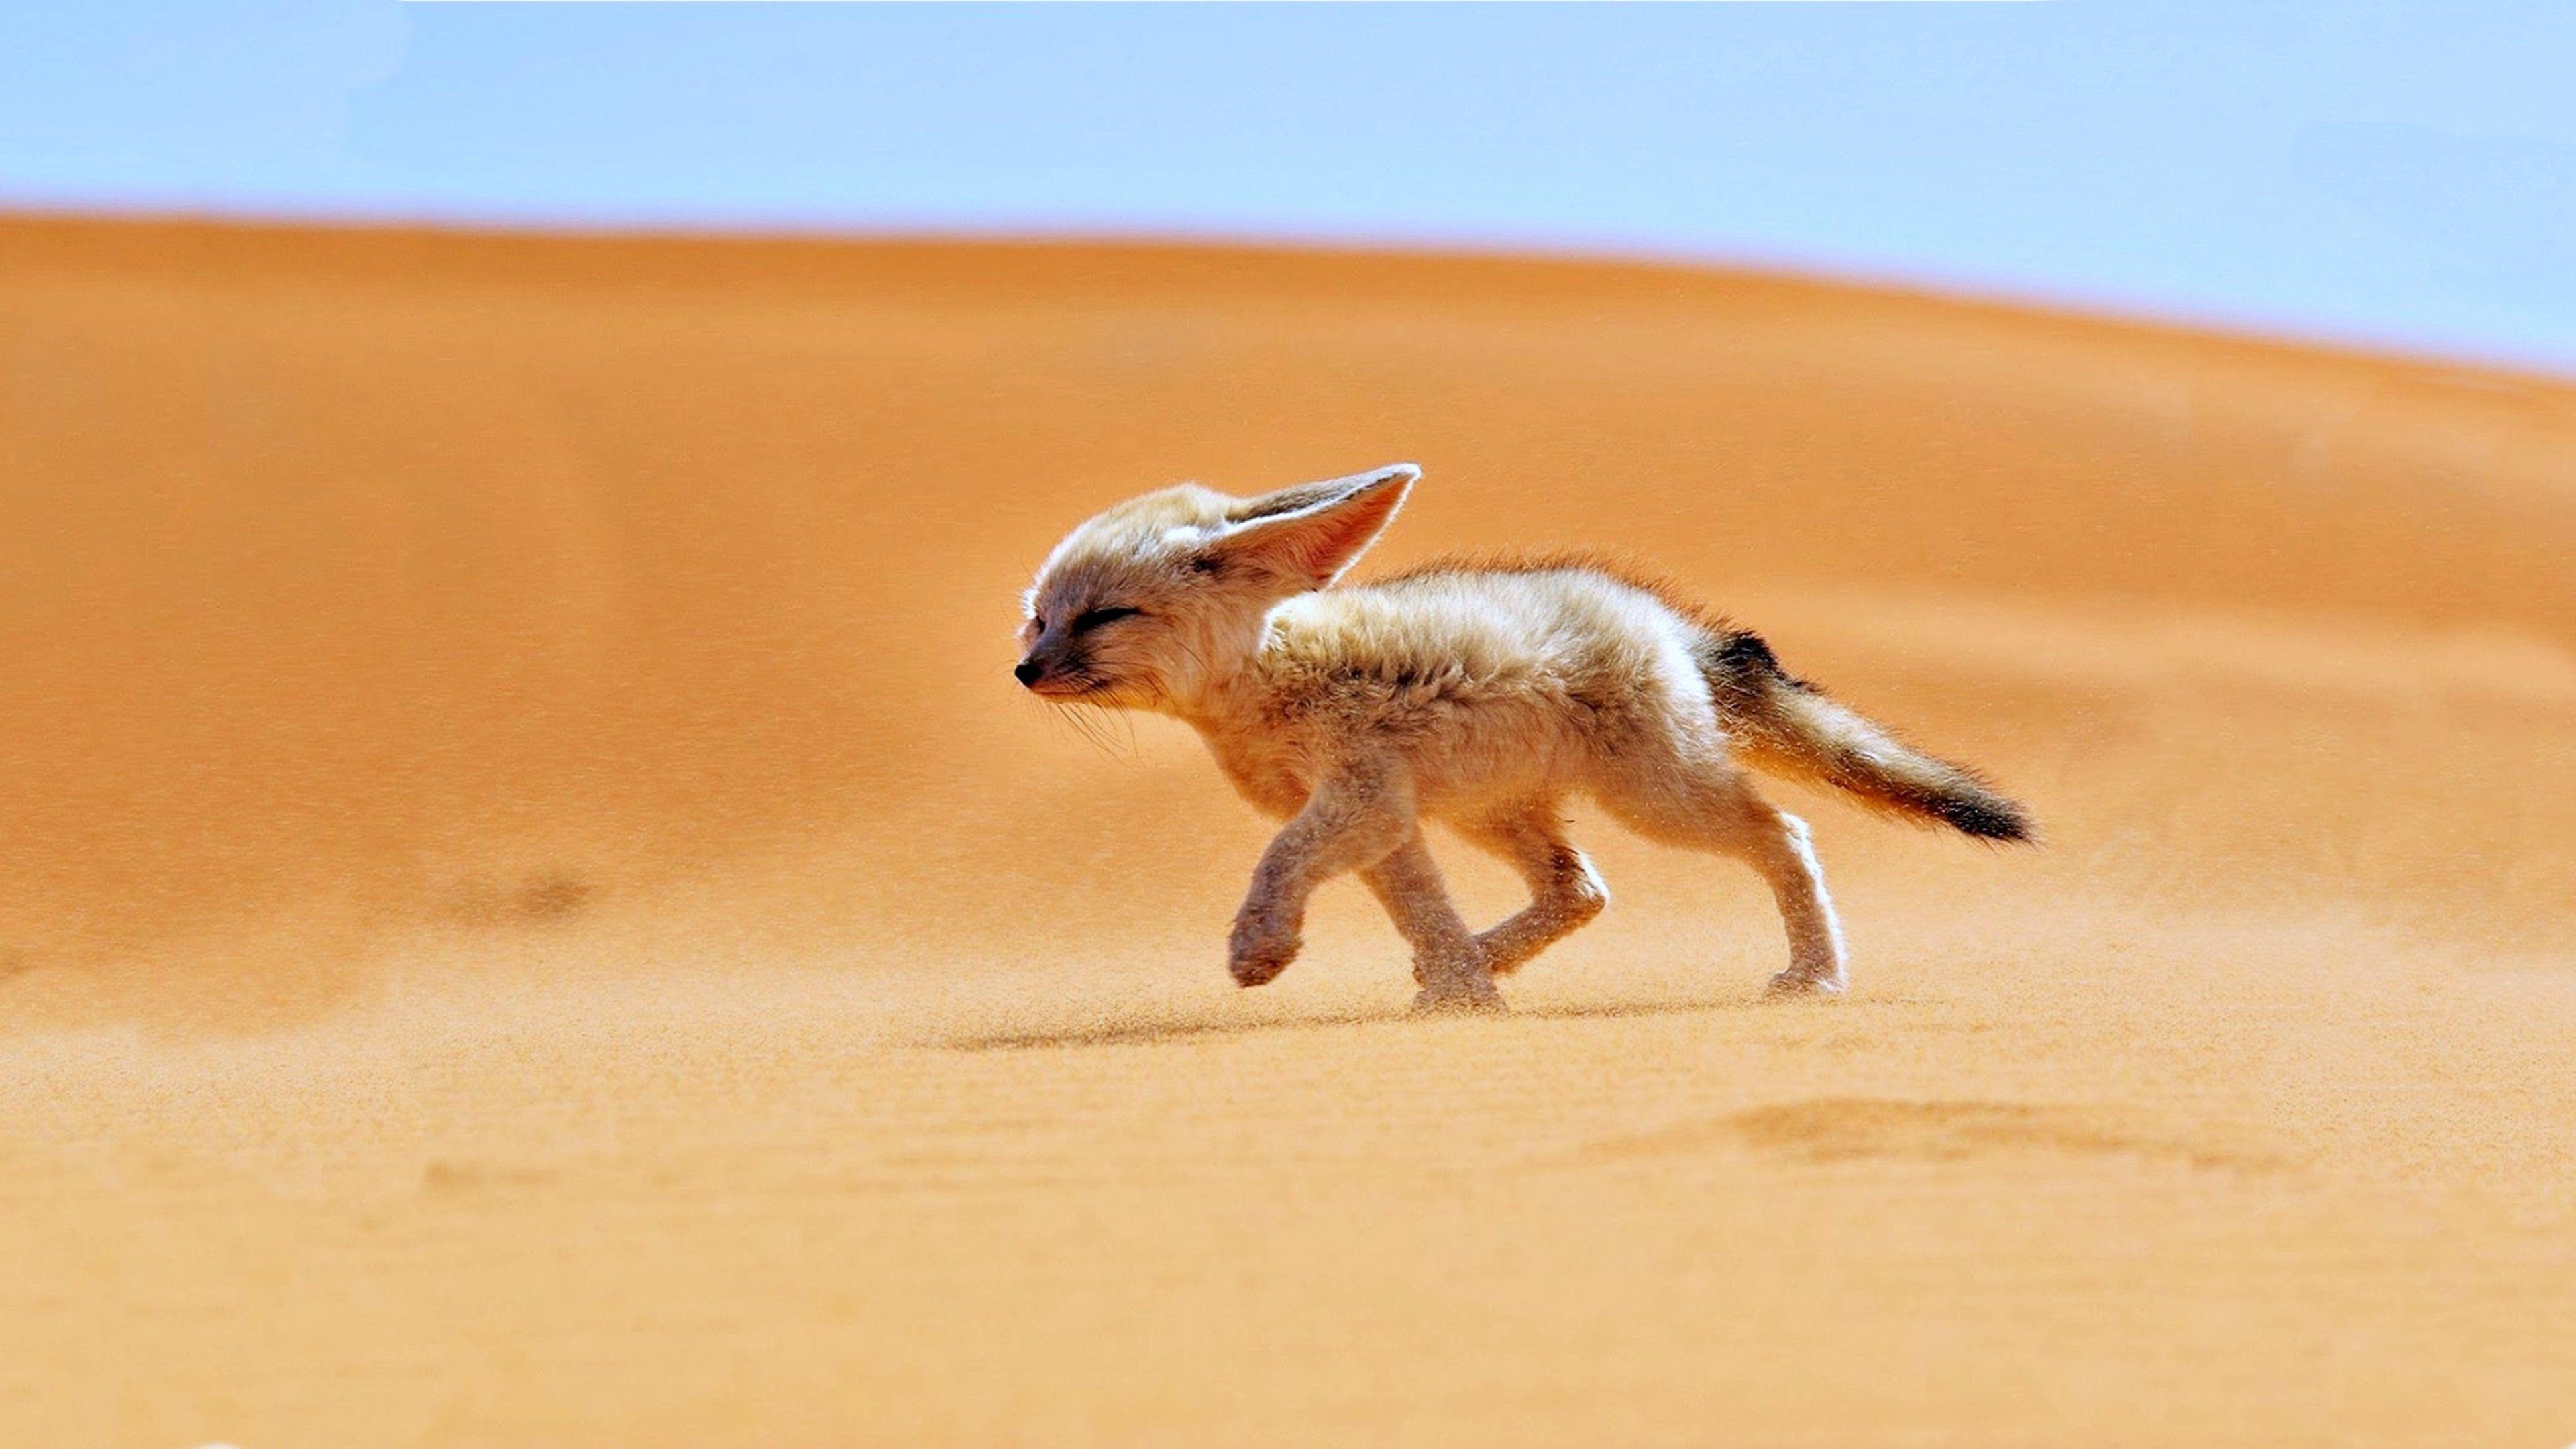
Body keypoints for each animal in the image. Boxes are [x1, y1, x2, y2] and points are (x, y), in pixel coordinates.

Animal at [1016, 463, 2029, 1012]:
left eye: (1104, 617)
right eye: (1039, 619)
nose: (1025, 672)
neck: (1269, 676)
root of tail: (1662, 619)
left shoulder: (1359, 799)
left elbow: (1279, 860)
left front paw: (1260, 947)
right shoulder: (1386, 819)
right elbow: (1420, 909)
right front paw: (1463, 994)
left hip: (1657, 800)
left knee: (1784, 833)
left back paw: (1816, 975)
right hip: (1493, 812)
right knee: (1581, 890)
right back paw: (1480, 960)